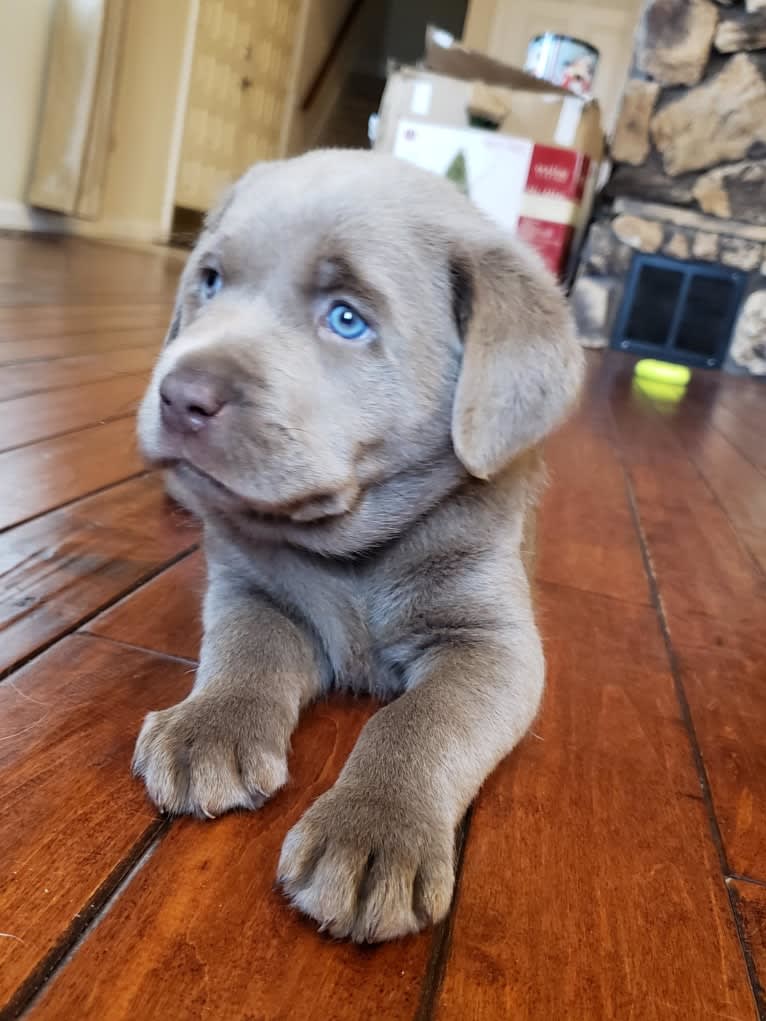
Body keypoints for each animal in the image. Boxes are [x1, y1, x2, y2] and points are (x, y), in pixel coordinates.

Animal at [134, 149, 584, 939]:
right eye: (209, 281)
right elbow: (244, 651)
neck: (353, 548)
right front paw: (205, 726)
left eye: (347, 319)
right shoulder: (250, 590)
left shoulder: (493, 643)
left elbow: (420, 721)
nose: (180, 395)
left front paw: (375, 831)